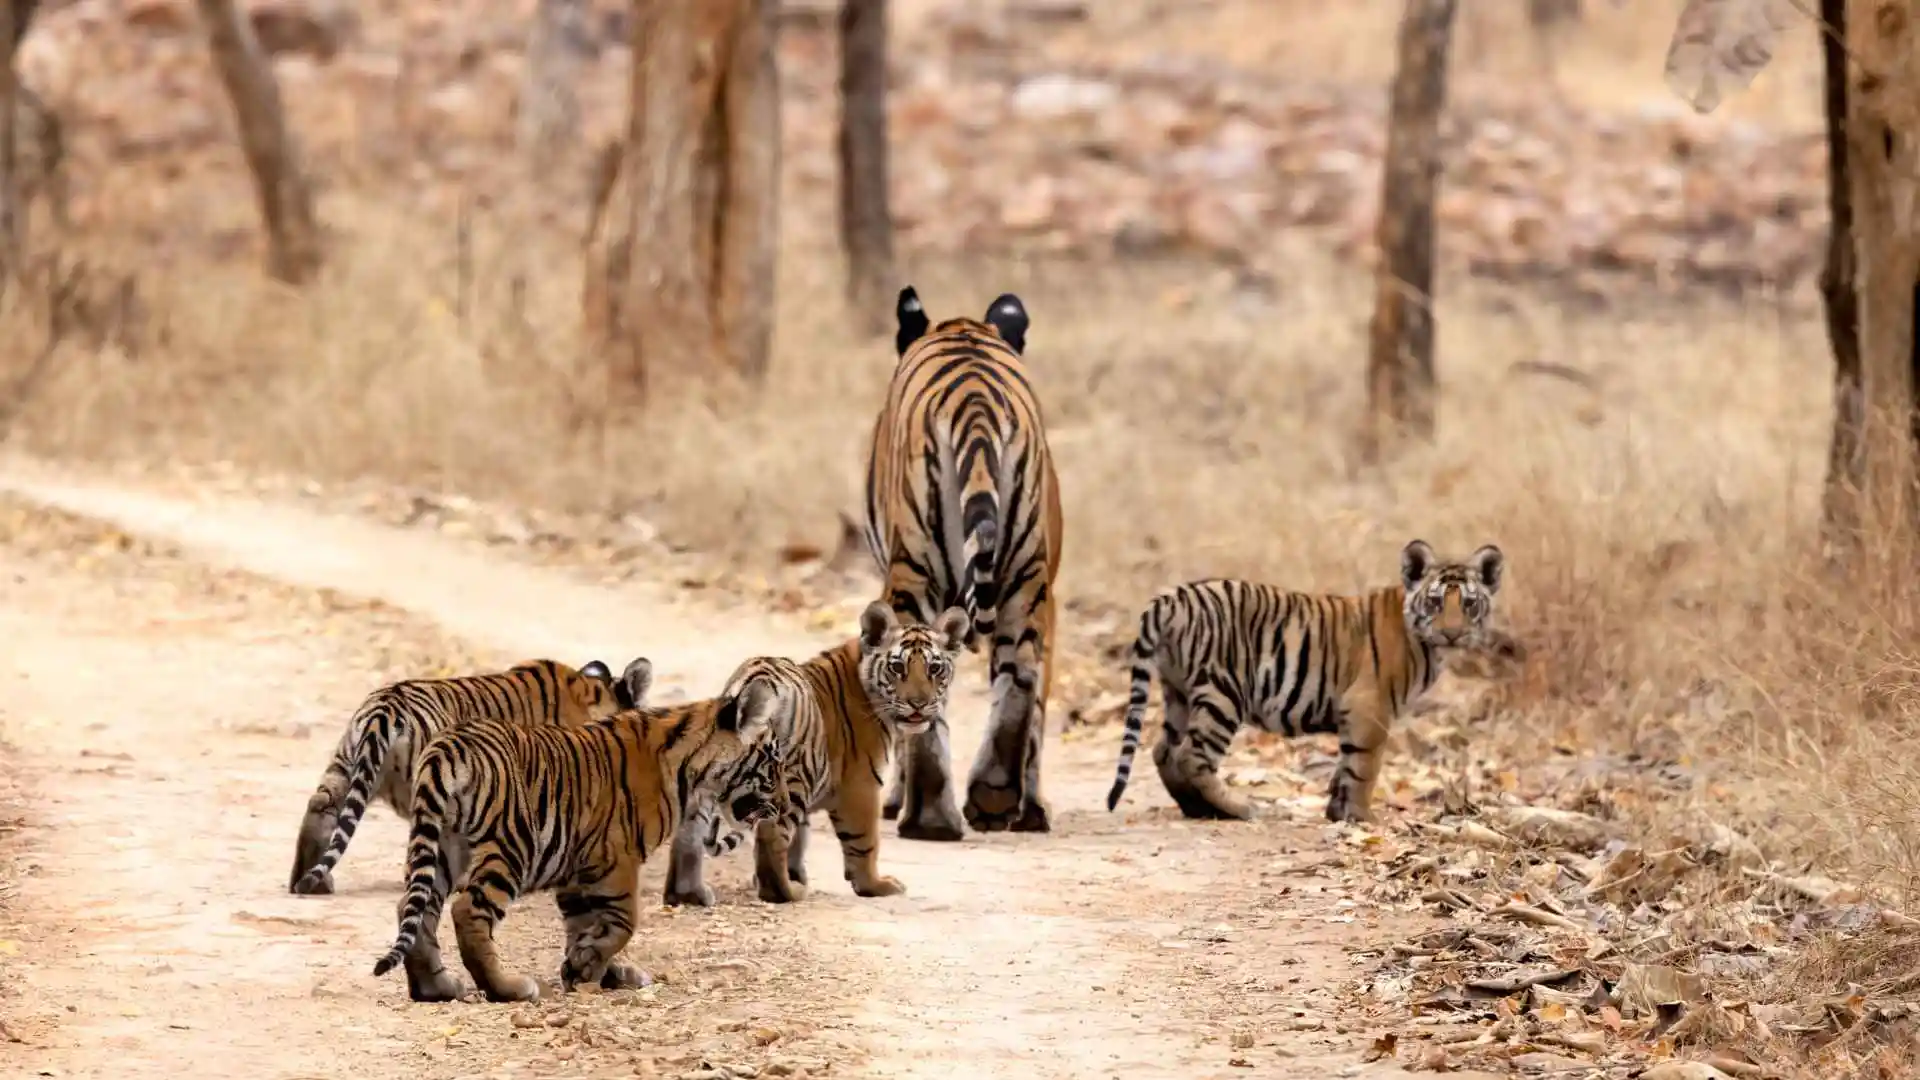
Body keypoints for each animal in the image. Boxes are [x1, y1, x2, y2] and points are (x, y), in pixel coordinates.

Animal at [369, 668, 788, 1004]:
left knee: (413, 908)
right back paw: (507, 988)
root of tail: (447, 746)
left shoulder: (576, 871)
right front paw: (588, 968)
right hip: (511, 847)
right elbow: (623, 921)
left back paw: (435, 988)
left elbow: (586, 926)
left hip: (441, 845)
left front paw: (592, 969)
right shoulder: (617, 860)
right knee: (467, 911)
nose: (784, 804)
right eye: (773, 761)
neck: (691, 766)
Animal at [662, 600, 969, 907]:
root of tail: (758, 678)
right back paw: (785, 892)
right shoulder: (861, 786)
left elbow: (801, 837)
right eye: (897, 667)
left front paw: (796, 874)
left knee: (688, 833)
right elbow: (865, 840)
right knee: (771, 833)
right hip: (790, 780)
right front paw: (874, 885)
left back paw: (688, 895)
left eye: (935, 668)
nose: (918, 704)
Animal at [862, 285, 1065, 840]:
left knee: (919, 683)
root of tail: (974, 401)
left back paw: (928, 816)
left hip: (913, 573)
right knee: (1021, 677)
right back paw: (994, 798)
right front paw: (1031, 809)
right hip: (1025, 578)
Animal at [1105, 539, 1508, 824]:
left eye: (1469, 604)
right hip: (1223, 692)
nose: (1453, 634)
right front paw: (1363, 818)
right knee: (1192, 754)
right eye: (1436, 603)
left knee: (1163, 750)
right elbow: (1365, 768)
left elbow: (1345, 766)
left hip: (1179, 693)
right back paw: (1236, 808)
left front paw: (1338, 812)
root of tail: (1169, 598)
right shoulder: (1370, 709)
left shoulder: (1354, 715)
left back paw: (1196, 807)